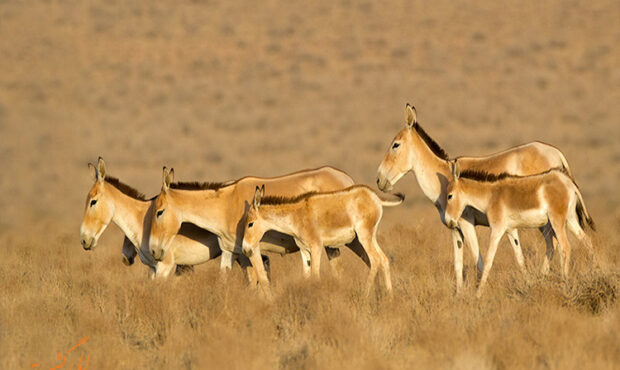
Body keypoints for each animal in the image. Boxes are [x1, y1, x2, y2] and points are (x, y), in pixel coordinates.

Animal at [240, 185, 404, 294]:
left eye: (250, 224)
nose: (245, 249)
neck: (296, 217)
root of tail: (374, 196)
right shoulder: (304, 250)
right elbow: (307, 276)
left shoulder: (316, 247)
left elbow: (315, 275)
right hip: (371, 236)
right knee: (384, 259)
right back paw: (389, 296)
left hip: (364, 236)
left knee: (375, 260)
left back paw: (365, 294)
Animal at [446, 160, 596, 296]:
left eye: (449, 196)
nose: (449, 222)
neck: (490, 196)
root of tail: (567, 182)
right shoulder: (511, 230)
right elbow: (520, 258)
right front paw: (528, 284)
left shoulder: (496, 229)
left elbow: (488, 260)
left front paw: (478, 294)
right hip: (570, 220)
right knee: (587, 241)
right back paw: (595, 271)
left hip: (557, 220)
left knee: (565, 247)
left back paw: (565, 282)